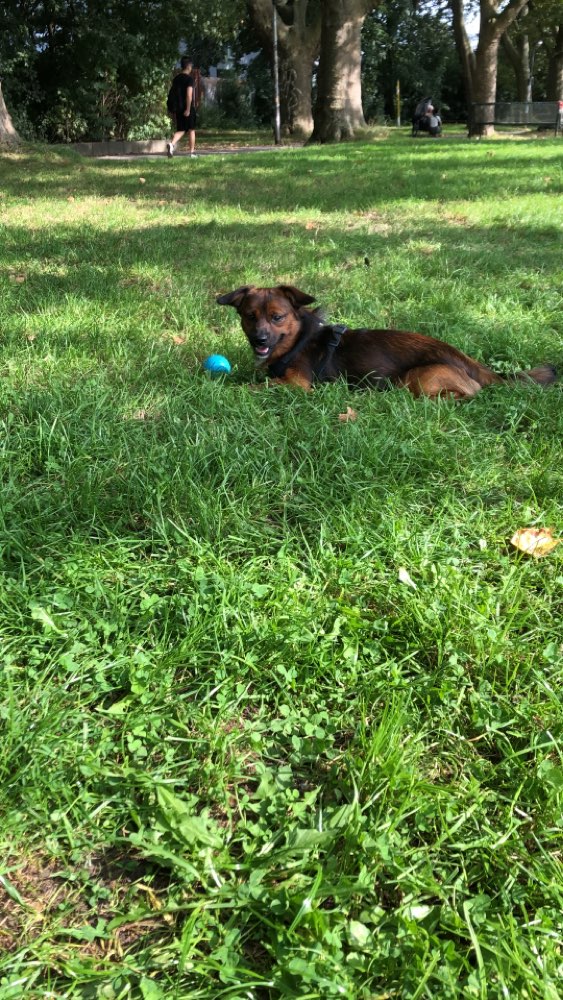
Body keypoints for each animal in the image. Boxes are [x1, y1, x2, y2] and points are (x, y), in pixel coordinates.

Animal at [218, 284, 556, 400]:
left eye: (277, 317)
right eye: (249, 316)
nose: (260, 339)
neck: (297, 340)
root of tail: (467, 360)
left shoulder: (296, 385)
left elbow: (252, 386)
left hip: (417, 377)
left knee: (467, 395)